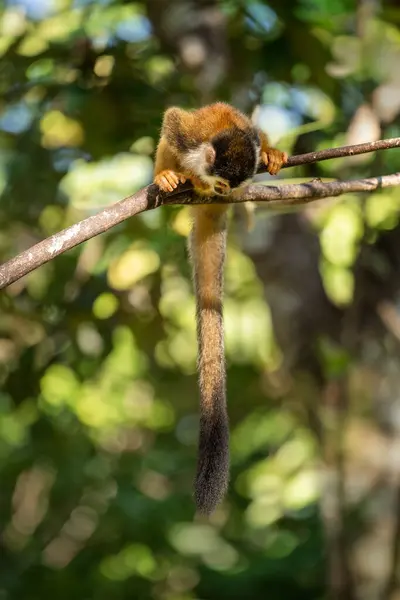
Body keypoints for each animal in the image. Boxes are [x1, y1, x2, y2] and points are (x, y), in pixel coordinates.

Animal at [153, 104, 288, 516]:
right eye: (223, 181)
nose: (224, 192)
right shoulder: (187, 135)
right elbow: (171, 122)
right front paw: (183, 177)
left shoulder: (250, 137)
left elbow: (260, 137)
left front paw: (272, 152)